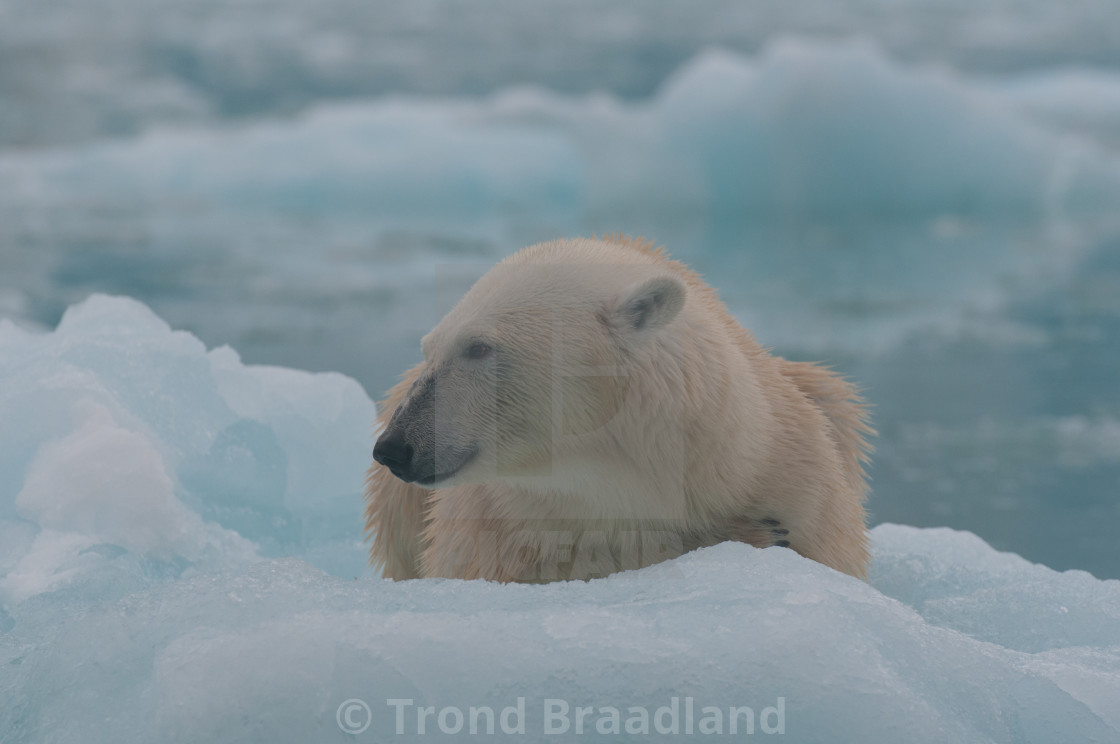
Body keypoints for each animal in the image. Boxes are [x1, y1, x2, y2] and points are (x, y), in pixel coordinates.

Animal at [367, 238, 873, 582]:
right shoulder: (493, 533)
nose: (394, 447)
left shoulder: (798, 481)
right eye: (429, 348)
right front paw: (756, 535)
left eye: (477, 347)